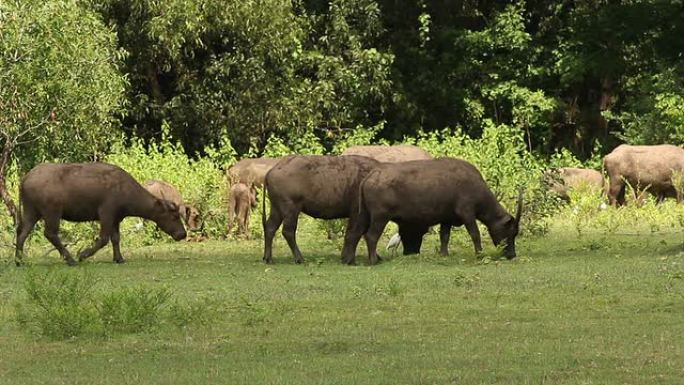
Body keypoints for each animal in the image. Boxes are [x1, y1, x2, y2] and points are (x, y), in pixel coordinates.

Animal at [16, 161, 187, 264]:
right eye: (174, 215)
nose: (183, 234)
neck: (126, 191)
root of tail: (25, 179)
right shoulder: (106, 213)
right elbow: (104, 239)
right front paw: (83, 254)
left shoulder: (117, 218)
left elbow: (116, 238)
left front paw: (119, 258)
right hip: (52, 212)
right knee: (50, 233)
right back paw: (71, 260)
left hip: (31, 211)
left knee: (22, 233)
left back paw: (19, 261)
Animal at [356, 158, 520, 262]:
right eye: (510, 232)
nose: (512, 255)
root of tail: (372, 174)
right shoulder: (467, 213)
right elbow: (475, 234)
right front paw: (479, 254)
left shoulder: (447, 218)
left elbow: (444, 236)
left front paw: (444, 254)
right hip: (380, 217)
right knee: (371, 236)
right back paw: (374, 260)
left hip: (366, 214)